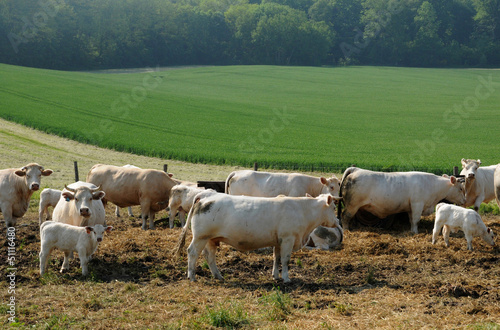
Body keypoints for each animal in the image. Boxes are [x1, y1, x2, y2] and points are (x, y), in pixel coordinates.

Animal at [176, 193, 340, 284]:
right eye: (333, 208)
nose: (337, 221)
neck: (302, 210)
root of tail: (205, 196)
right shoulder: (288, 239)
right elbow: (285, 260)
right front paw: (286, 278)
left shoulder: (278, 241)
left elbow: (276, 258)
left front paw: (275, 276)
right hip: (200, 237)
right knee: (192, 252)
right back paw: (192, 276)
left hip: (210, 239)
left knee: (209, 256)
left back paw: (218, 276)